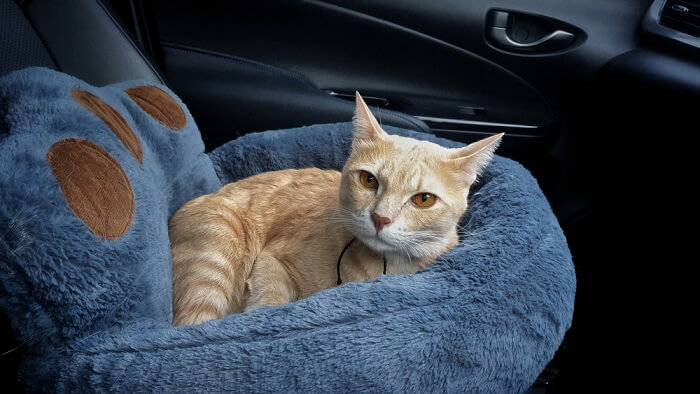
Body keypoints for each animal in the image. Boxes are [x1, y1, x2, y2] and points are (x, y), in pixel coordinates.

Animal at [170, 93, 504, 326]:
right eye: (369, 180)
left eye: (424, 199)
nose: (381, 218)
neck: (384, 267)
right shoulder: (272, 260)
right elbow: (270, 303)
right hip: (215, 258)